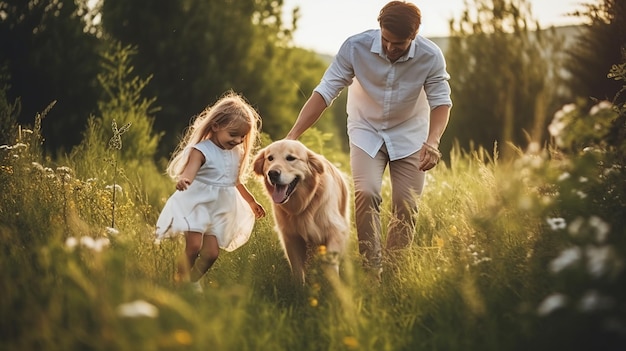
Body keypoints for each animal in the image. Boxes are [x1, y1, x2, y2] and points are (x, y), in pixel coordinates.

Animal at [254, 139, 352, 284]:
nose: (272, 173)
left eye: (290, 158)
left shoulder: (336, 230)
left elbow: (331, 263)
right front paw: (299, 288)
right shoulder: (290, 236)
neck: (305, 204)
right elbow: (297, 269)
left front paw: (334, 285)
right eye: (270, 158)